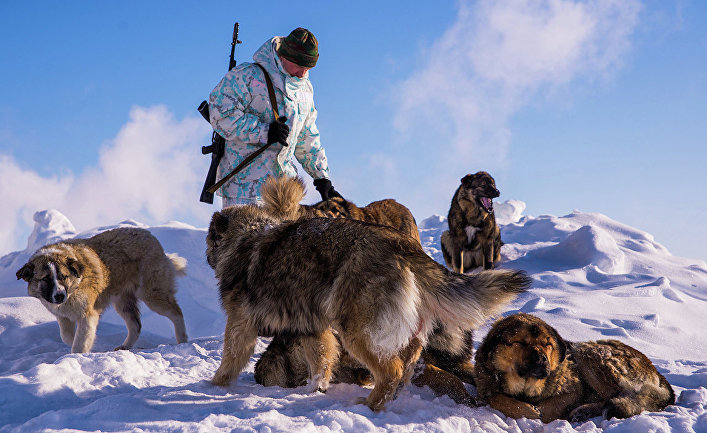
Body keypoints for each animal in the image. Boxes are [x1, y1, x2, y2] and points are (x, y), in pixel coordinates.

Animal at [18, 226, 191, 352]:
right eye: (45, 279)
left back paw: (182, 340)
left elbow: (80, 341)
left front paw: (78, 355)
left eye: (63, 276)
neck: (74, 286)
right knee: (136, 325)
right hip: (123, 302)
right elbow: (67, 336)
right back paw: (125, 347)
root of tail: (149, 235)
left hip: (152, 294)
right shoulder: (63, 317)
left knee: (176, 313)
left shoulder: (88, 314)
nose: (59, 296)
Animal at [205, 204, 532, 410]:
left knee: (391, 369)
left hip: (355, 329)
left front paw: (214, 386)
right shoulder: (314, 330)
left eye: (210, 240)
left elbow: (229, 358)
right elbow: (321, 363)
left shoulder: (240, 325)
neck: (246, 236)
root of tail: (402, 243)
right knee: (408, 359)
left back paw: (371, 405)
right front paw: (314, 389)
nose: (207, 256)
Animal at [472, 314, 676, 422]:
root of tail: (657, 373)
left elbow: (548, 407)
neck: (525, 387)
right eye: (520, 343)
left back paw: (585, 411)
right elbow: (495, 397)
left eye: (547, 344)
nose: (543, 360)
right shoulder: (486, 386)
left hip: (589, 352)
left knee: (620, 396)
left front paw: (536, 412)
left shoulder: (573, 390)